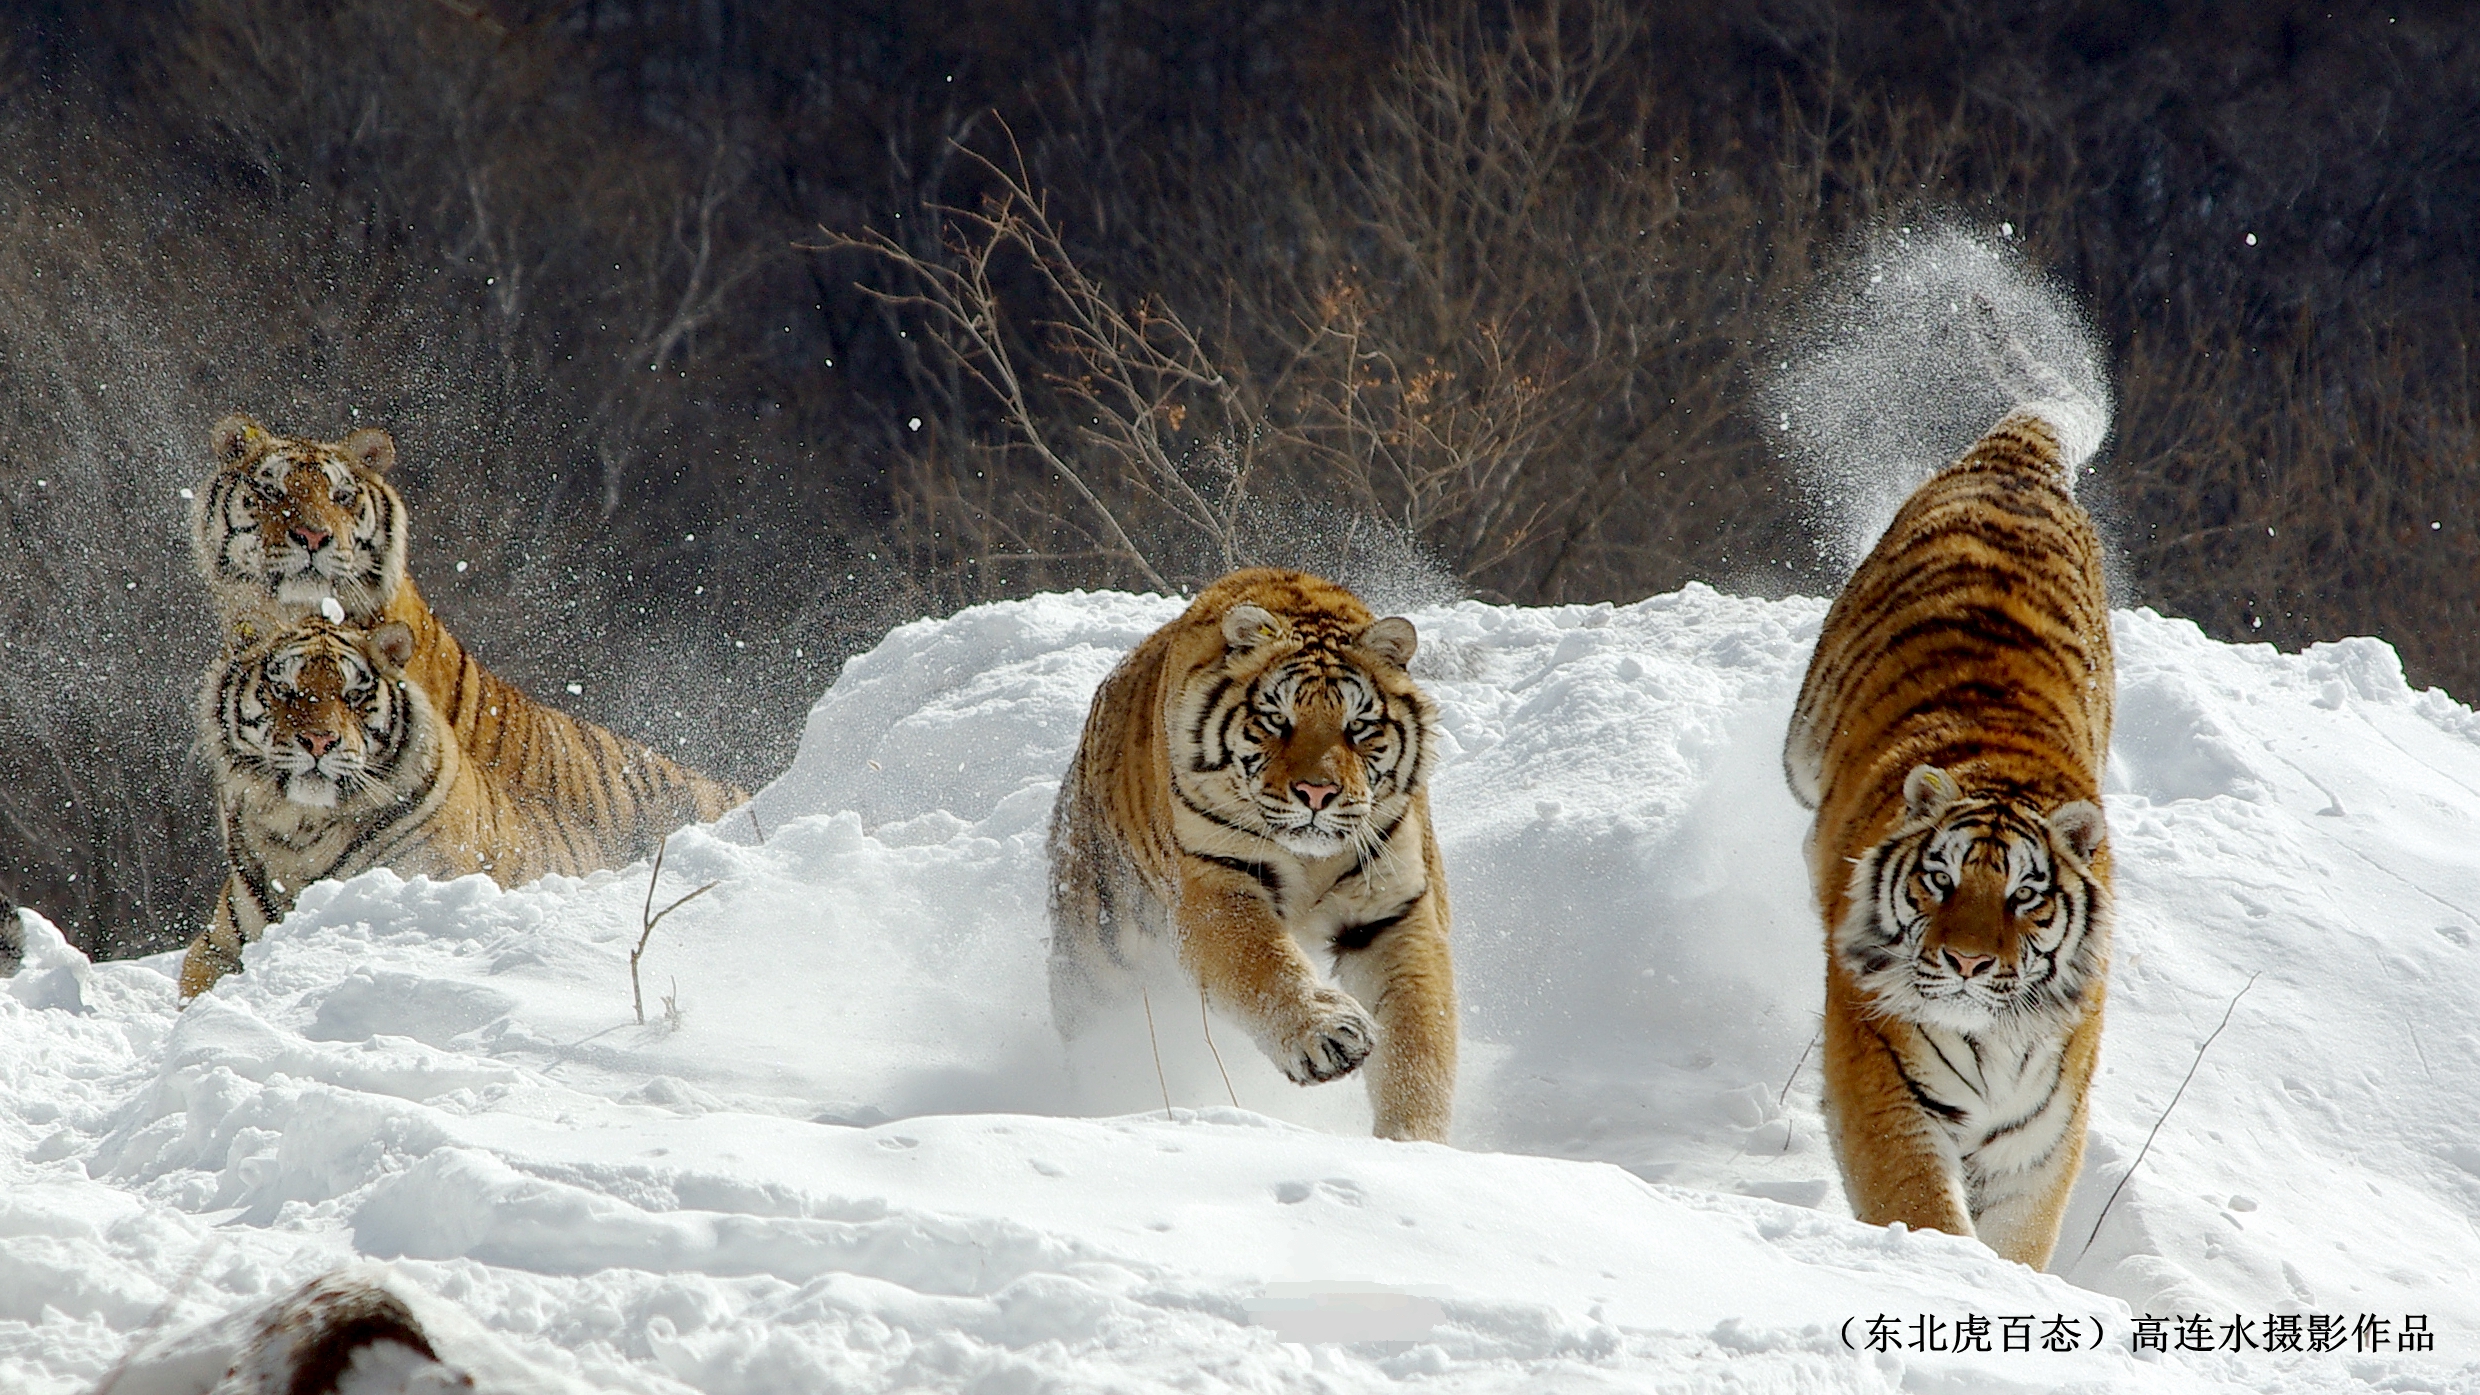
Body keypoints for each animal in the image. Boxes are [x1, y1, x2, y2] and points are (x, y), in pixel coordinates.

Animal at [1041, 568, 1448, 1141]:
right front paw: (1329, 1035)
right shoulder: (1214, 886)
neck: (1312, 859)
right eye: (1277, 721)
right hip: (1098, 961)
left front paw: (1414, 1143)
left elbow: (1418, 1034)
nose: (1318, 793)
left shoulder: (1394, 909)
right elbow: (1265, 963)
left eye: (1358, 727)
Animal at [1785, 299, 2112, 1265]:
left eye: (2026, 896)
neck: (1995, 1040)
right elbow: (1926, 1208)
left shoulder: (2044, 1132)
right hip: (1803, 739)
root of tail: (2018, 460)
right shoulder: (1886, 1087)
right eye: (1939, 879)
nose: (1967, 962)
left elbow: (2020, 1239)